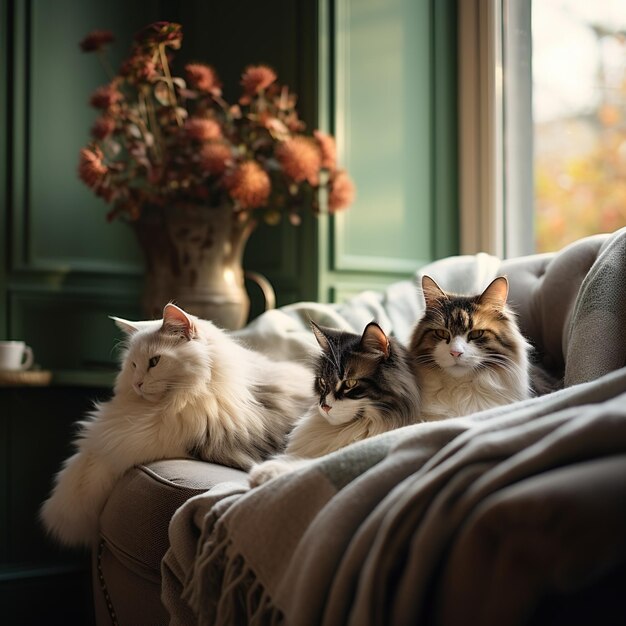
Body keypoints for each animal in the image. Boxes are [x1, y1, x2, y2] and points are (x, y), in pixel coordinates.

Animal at [40, 300, 312, 544]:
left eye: (154, 361)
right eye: (133, 365)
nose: (137, 383)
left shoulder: (170, 441)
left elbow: (98, 464)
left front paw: (66, 515)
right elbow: (83, 460)